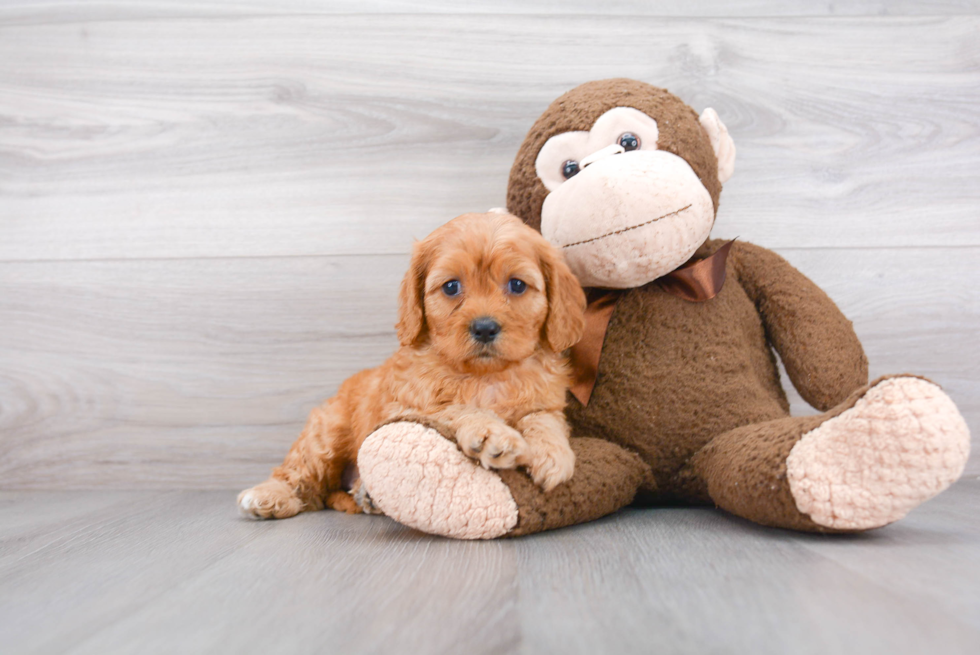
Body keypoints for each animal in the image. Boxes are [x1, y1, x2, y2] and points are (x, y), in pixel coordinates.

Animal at [238, 213, 584, 520]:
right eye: (451, 287)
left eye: (517, 285)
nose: (485, 328)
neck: (485, 377)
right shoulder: (406, 408)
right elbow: (454, 409)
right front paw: (491, 433)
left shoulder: (547, 401)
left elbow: (543, 418)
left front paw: (551, 453)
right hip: (325, 434)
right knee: (300, 477)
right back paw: (270, 496)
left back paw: (364, 495)